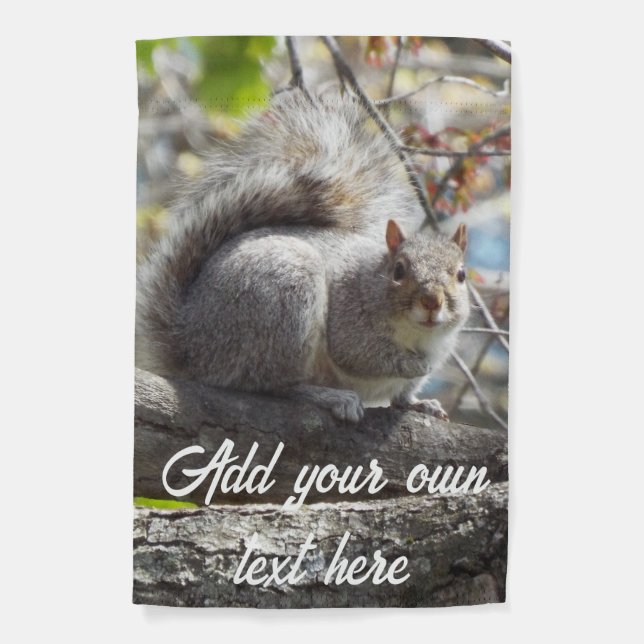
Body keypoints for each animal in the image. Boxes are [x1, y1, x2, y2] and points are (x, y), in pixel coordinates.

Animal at [136, 91, 470, 423]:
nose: (431, 301)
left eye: (461, 275)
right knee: (270, 383)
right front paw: (415, 364)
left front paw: (420, 403)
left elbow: (402, 396)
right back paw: (327, 395)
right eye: (398, 271)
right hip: (283, 297)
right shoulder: (350, 320)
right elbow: (360, 354)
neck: (419, 335)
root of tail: (190, 349)